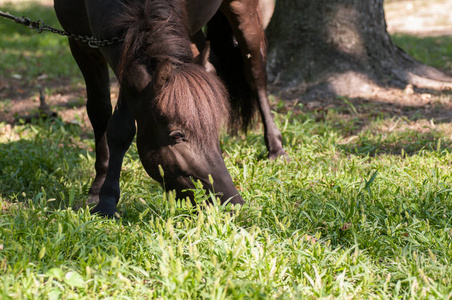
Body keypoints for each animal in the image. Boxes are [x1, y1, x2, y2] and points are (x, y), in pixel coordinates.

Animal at [53, 0, 284, 217]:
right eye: (177, 136)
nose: (232, 203)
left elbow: (121, 128)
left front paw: (107, 200)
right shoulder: (81, 45)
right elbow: (101, 113)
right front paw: (99, 192)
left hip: (243, 11)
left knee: (255, 73)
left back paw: (276, 149)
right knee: (210, 63)